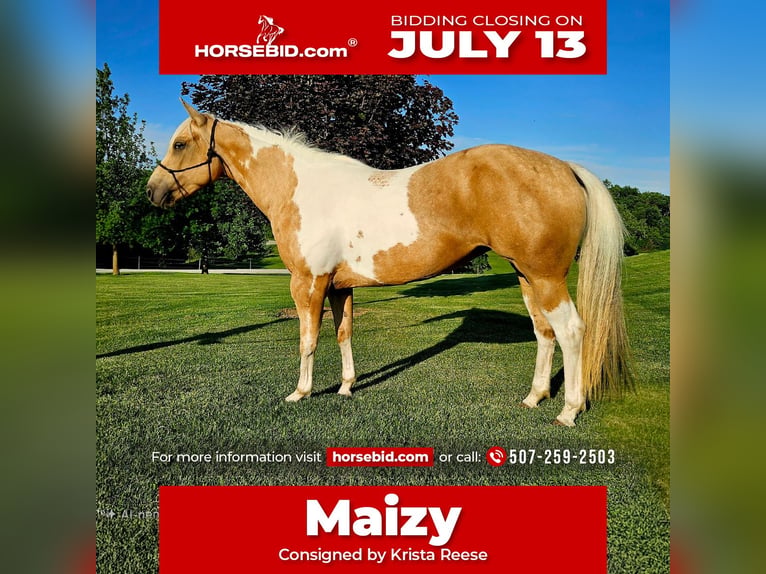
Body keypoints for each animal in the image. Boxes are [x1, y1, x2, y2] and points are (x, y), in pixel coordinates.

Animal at [146, 100, 632, 426]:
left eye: (180, 143)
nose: (152, 192)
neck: (302, 188)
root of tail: (564, 166)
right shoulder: (339, 286)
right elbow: (343, 333)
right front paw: (346, 386)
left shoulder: (307, 282)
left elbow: (307, 340)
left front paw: (301, 392)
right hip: (527, 276)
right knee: (544, 332)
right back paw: (534, 398)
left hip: (546, 277)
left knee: (571, 331)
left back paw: (568, 411)